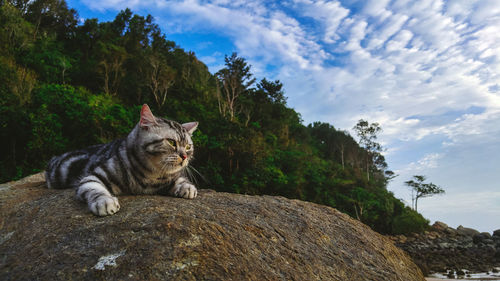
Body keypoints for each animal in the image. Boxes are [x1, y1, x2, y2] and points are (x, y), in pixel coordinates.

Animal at [44, 104, 197, 215]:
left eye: (188, 147)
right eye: (171, 142)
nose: (184, 156)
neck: (151, 173)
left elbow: (179, 179)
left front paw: (186, 186)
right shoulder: (92, 177)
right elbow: (95, 189)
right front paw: (105, 201)